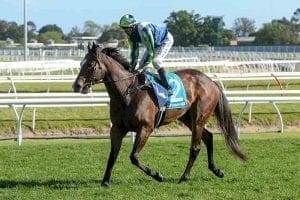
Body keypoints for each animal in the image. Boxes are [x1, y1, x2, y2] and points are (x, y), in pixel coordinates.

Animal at [73, 43, 246, 187]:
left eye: (90, 64)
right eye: (81, 63)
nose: (77, 86)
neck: (128, 92)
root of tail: (211, 81)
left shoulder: (146, 128)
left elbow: (134, 157)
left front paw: (157, 175)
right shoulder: (117, 128)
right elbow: (112, 155)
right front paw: (105, 181)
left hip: (199, 118)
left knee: (195, 147)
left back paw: (184, 177)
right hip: (187, 117)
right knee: (208, 137)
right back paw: (216, 170)